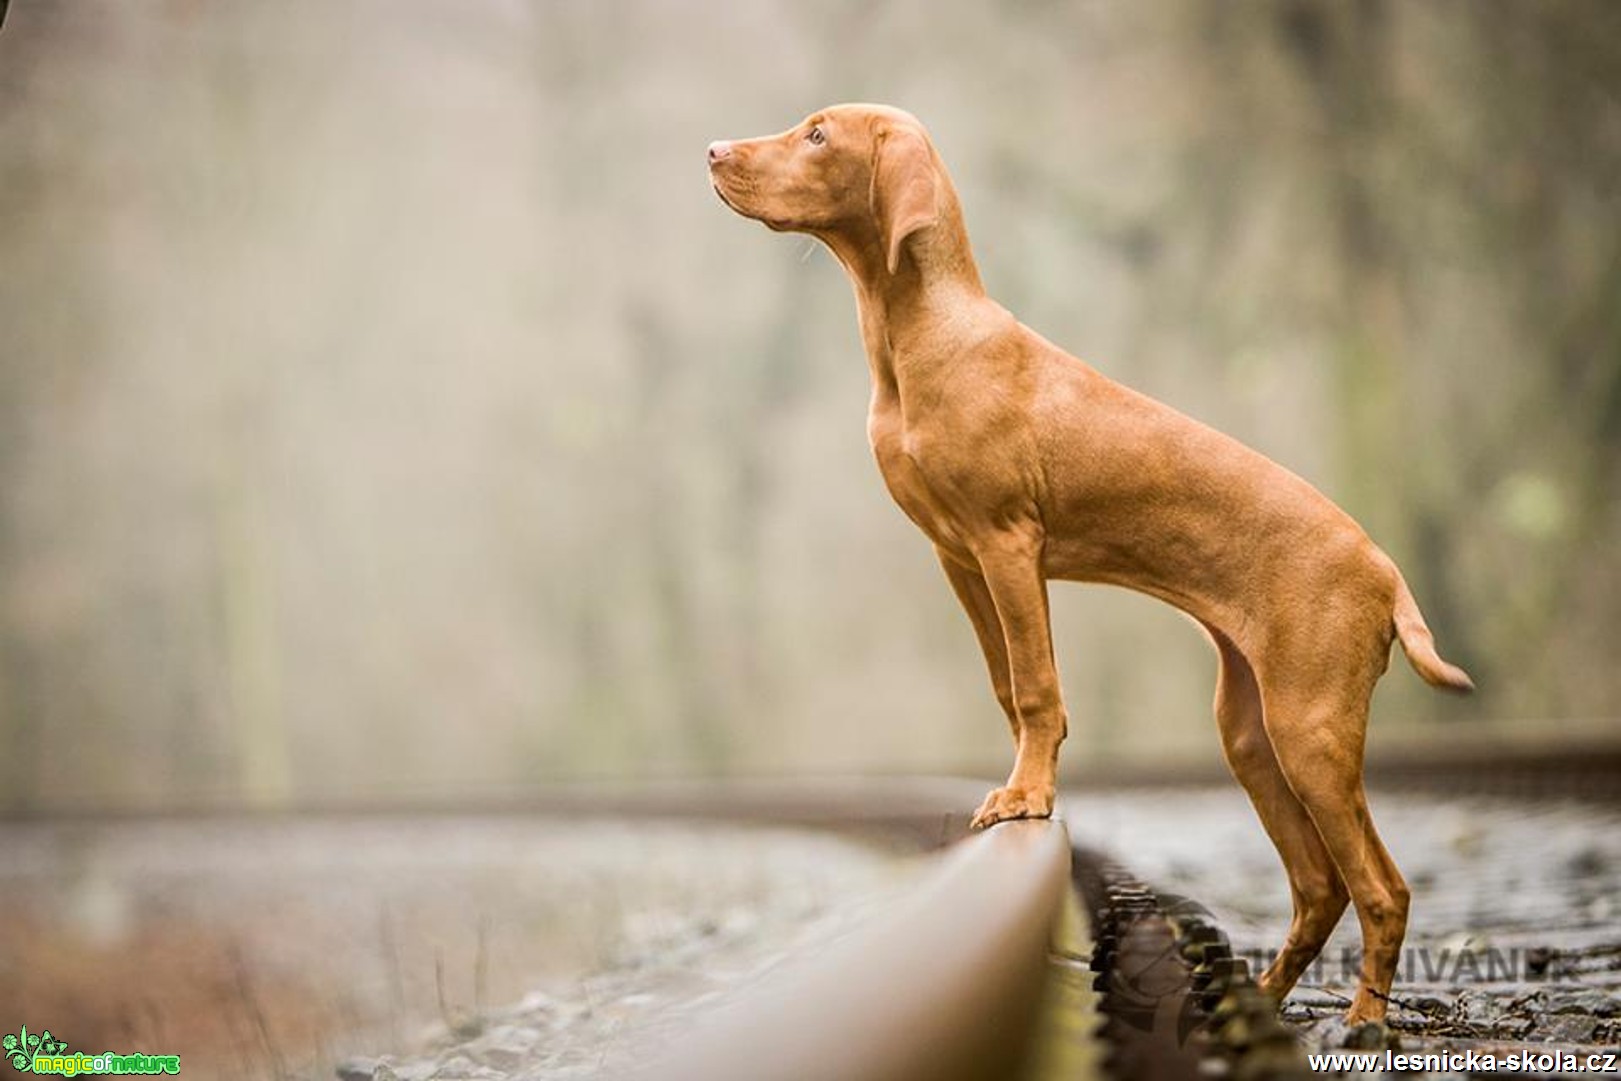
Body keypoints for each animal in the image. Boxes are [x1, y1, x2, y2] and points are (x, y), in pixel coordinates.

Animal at [706, 105, 1471, 1030]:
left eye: (818, 136)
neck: (918, 335)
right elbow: (1006, 687)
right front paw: (1019, 787)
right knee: (1319, 884)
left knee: (1382, 886)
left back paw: (1361, 1020)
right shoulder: (957, 555)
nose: (712, 152)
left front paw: (1028, 796)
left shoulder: (1007, 543)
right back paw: (1253, 1001)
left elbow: (1037, 687)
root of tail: (1383, 567)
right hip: (1251, 731)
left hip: (1312, 730)